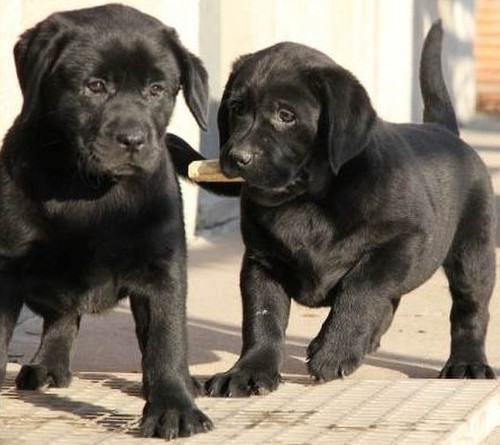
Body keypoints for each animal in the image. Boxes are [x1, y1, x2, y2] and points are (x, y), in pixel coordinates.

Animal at [0, 5, 212, 438]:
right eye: (94, 86)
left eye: (156, 90)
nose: (133, 139)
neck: (89, 189)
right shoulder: (7, 262)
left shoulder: (162, 267)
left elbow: (166, 339)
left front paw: (173, 407)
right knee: (62, 315)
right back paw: (48, 366)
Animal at [202, 21, 496, 396]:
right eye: (236, 108)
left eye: (286, 116)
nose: (236, 157)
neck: (308, 202)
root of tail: (444, 131)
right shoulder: (261, 261)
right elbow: (261, 318)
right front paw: (248, 371)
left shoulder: (402, 240)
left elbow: (361, 288)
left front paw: (335, 350)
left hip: (473, 251)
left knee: (469, 308)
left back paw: (467, 362)